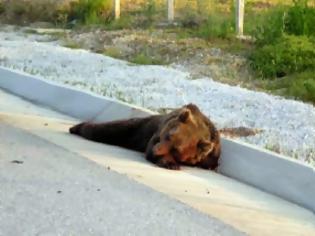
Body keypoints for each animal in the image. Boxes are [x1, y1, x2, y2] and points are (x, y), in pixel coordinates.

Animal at [70, 103, 221, 170]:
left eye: (176, 149)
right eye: (168, 135)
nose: (156, 150)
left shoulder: (213, 153)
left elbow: (211, 164)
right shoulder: (157, 132)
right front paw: (170, 163)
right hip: (139, 127)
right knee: (110, 129)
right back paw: (77, 127)